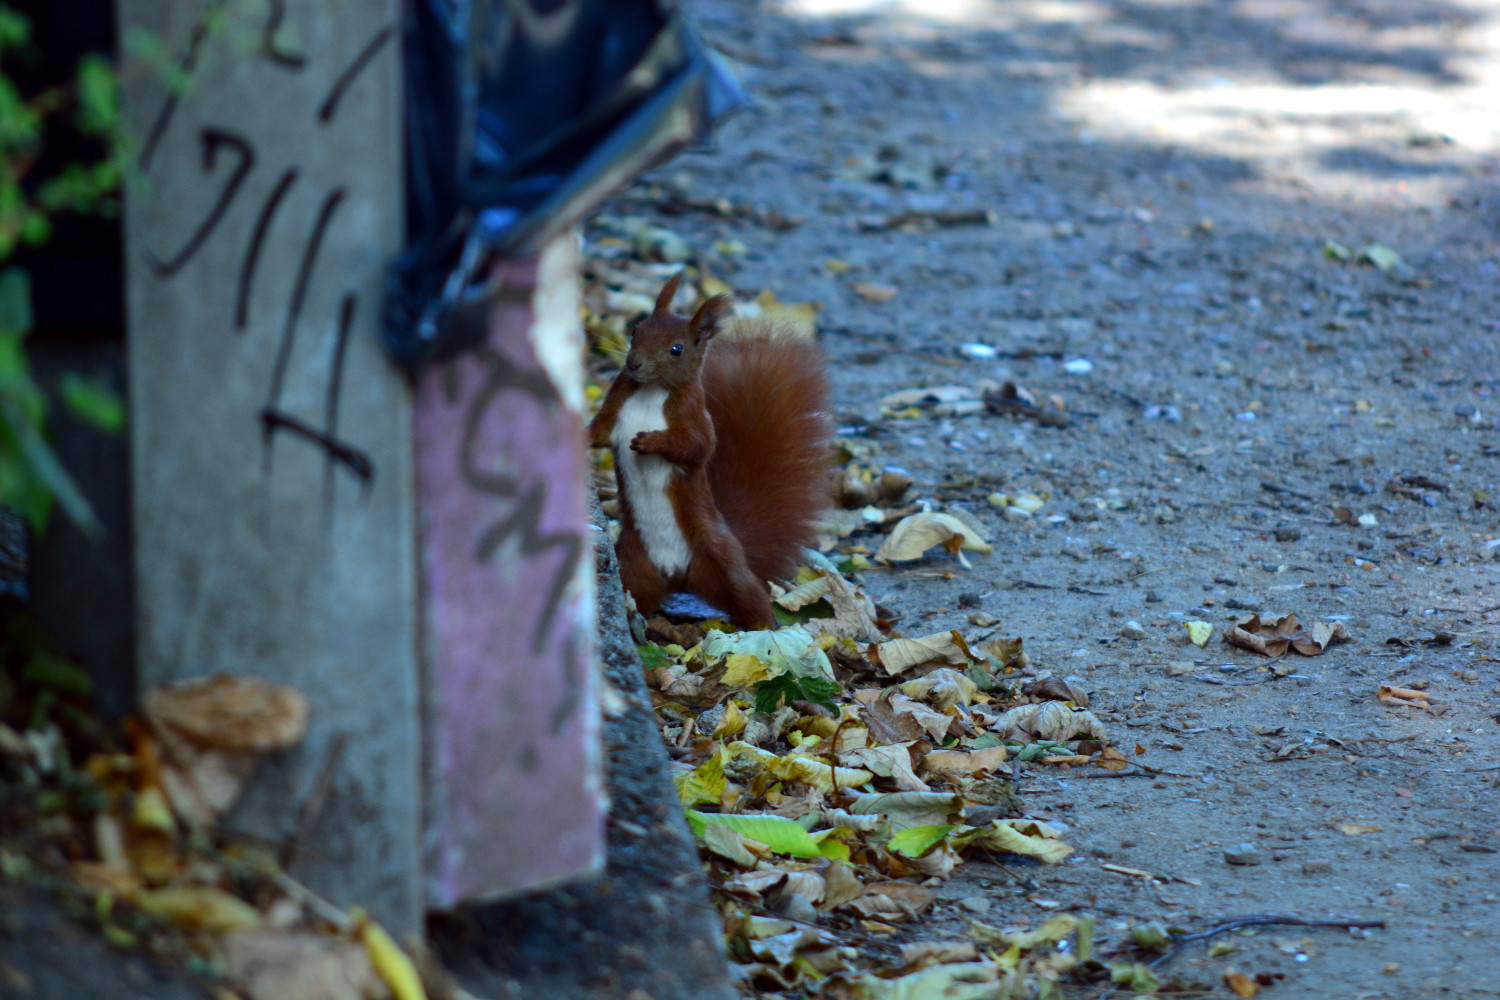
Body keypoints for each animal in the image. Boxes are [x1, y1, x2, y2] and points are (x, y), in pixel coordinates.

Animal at [588, 271, 834, 626]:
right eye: (636, 330)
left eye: (676, 349)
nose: (633, 364)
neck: (651, 390)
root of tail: (677, 577)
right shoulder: (615, 408)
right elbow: (600, 433)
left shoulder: (695, 418)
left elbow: (698, 447)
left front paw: (650, 441)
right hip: (633, 565)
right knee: (636, 592)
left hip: (722, 561)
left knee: (749, 596)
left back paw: (767, 630)